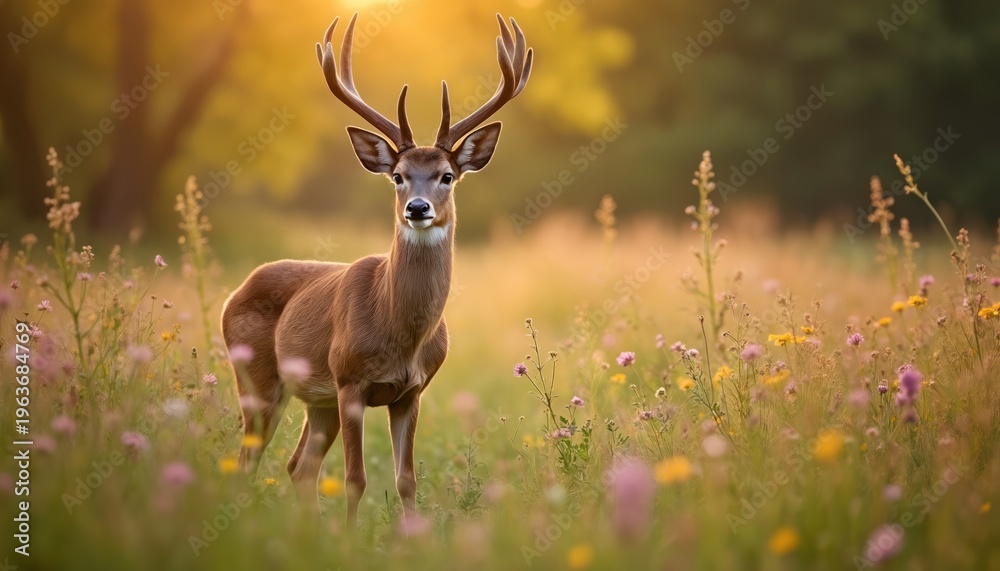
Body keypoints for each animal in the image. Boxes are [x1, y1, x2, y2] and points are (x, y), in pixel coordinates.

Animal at [220, 13, 532, 526]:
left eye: (447, 175)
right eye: (398, 176)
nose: (418, 208)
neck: (400, 332)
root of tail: (234, 293)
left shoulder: (411, 391)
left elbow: (406, 479)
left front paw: (411, 535)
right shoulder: (350, 381)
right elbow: (355, 478)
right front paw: (350, 536)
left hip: (317, 400)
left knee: (298, 466)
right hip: (258, 378)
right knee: (247, 459)